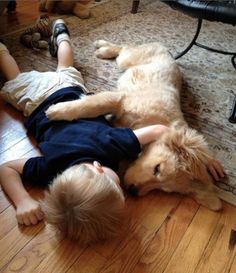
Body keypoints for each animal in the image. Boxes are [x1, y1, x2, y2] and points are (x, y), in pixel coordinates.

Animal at [45, 39, 222, 210]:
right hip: (127, 59)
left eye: (163, 189)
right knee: (124, 47)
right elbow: (91, 105)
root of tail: (168, 51)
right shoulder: (119, 100)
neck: (154, 122)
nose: (133, 191)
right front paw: (58, 110)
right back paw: (102, 48)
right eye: (157, 168)